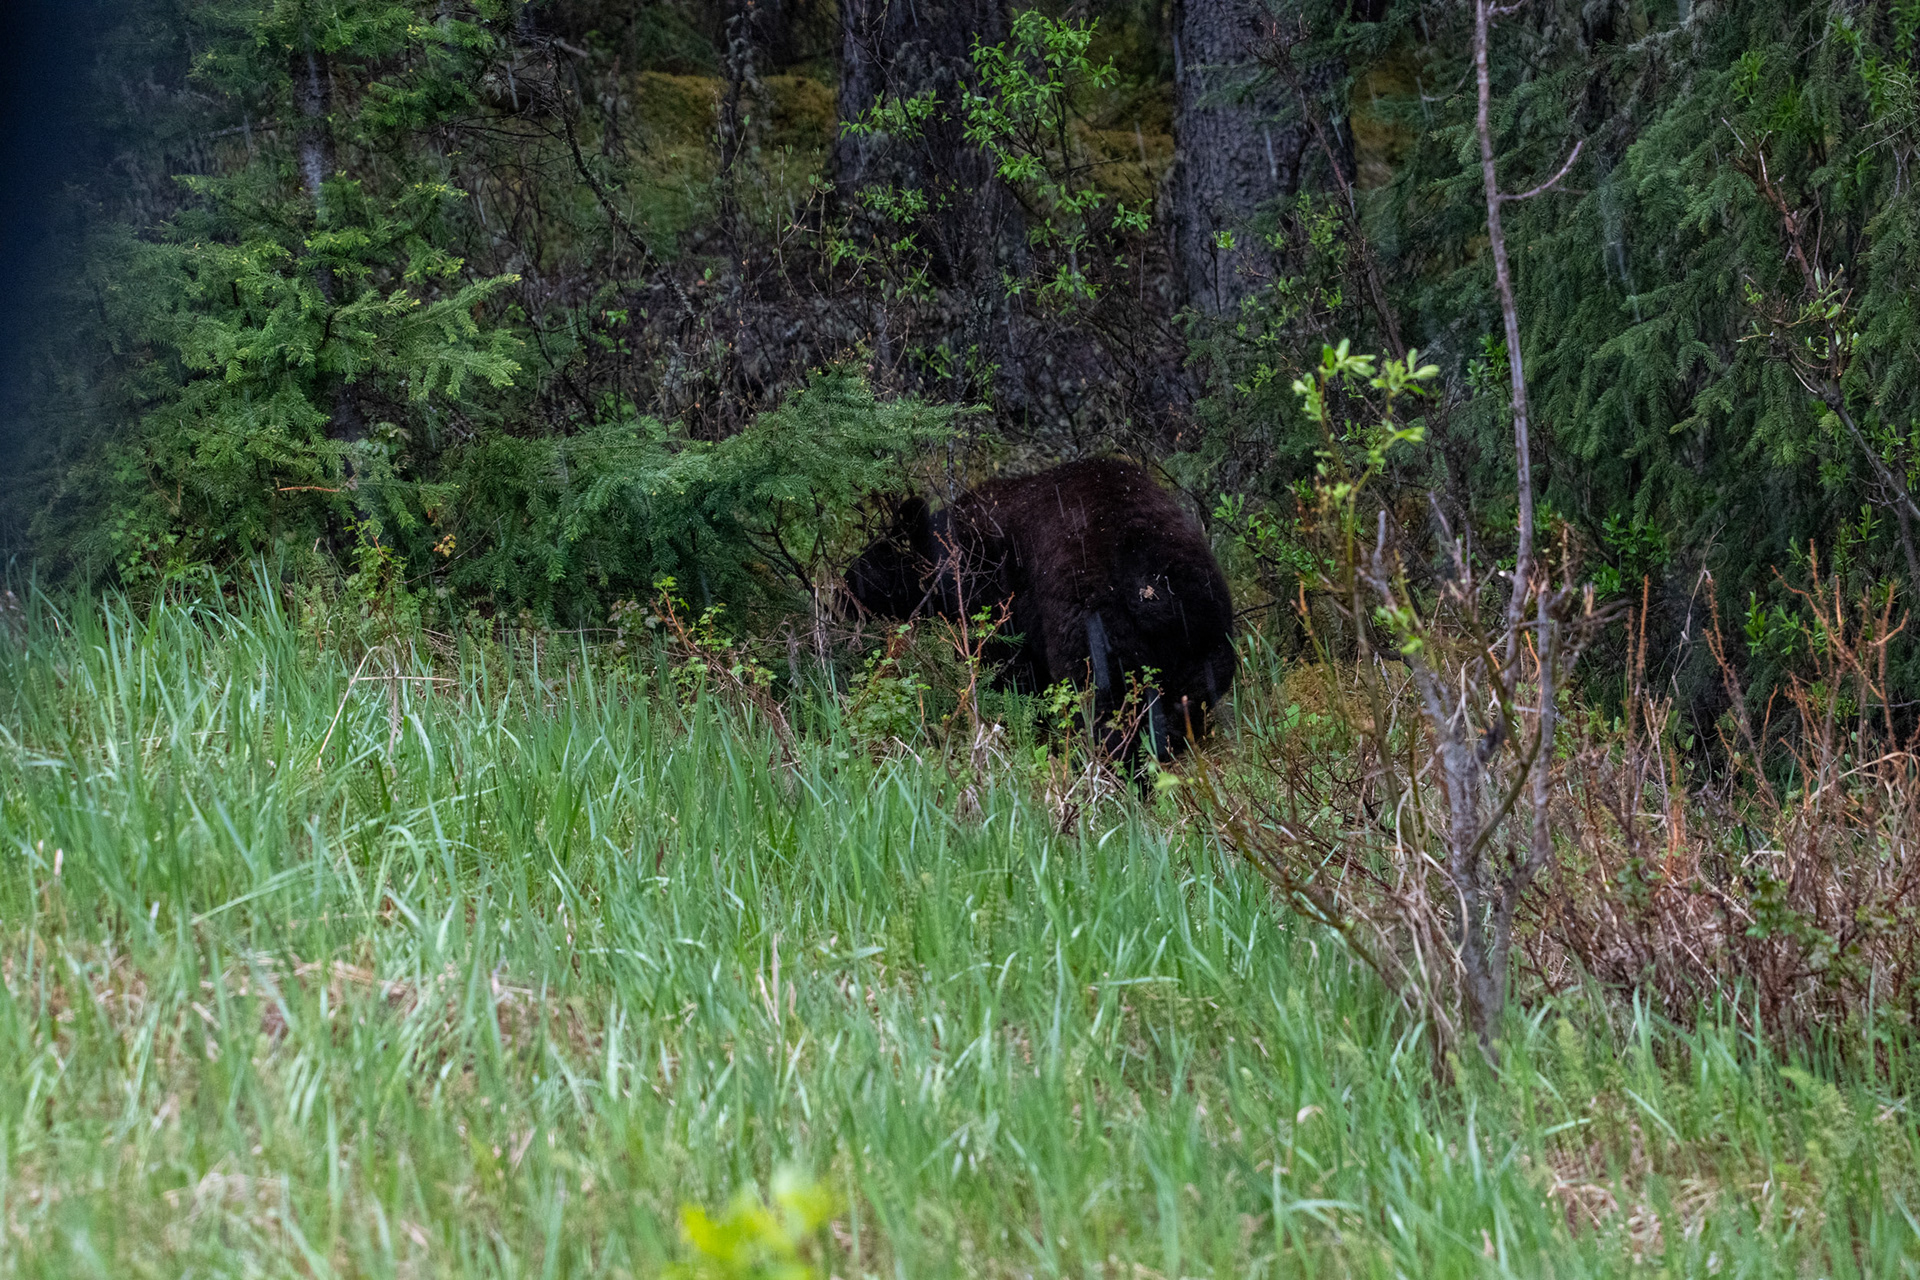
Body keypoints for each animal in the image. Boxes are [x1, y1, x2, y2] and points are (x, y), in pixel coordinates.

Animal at [844, 458, 1236, 759]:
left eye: (875, 559)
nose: (844, 590)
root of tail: (1151, 586)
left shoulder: (991, 591)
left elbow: (1007, 667)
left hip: (1093, 629)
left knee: (1104, 708)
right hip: (1204, 632)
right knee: (1188, 701)